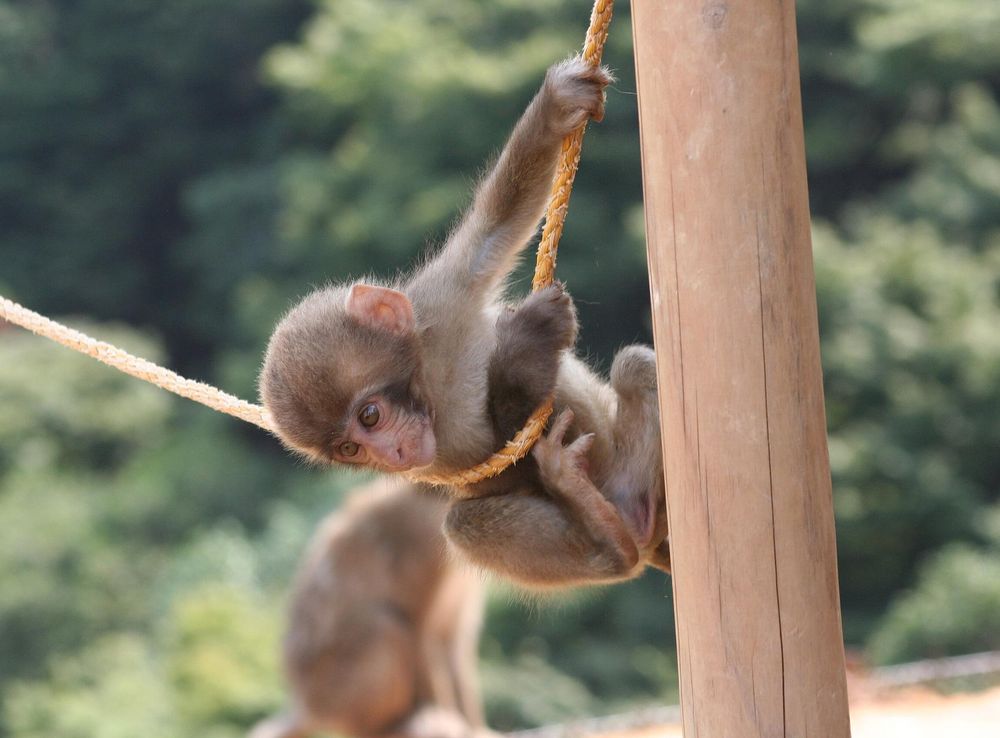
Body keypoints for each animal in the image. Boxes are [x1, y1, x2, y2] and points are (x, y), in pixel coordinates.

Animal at [250, 479, 492, 738]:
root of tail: (307, 706)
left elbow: (456, 650)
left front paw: (475, 726)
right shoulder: (421, 542)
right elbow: (422, 633)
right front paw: (444, 717)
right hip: (337, 689)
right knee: (387, 625)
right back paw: (396, 724)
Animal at [259, 56, 670, 589]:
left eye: (370, 416)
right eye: (351, 449)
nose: (392, 455)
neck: (431, 387)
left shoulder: (443, 300)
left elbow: (496, 227)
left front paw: (556, 108)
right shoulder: (434, 460)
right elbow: (507, 460)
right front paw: (523, 353)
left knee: (634, 368)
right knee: (465, 523)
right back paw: (609, 538)